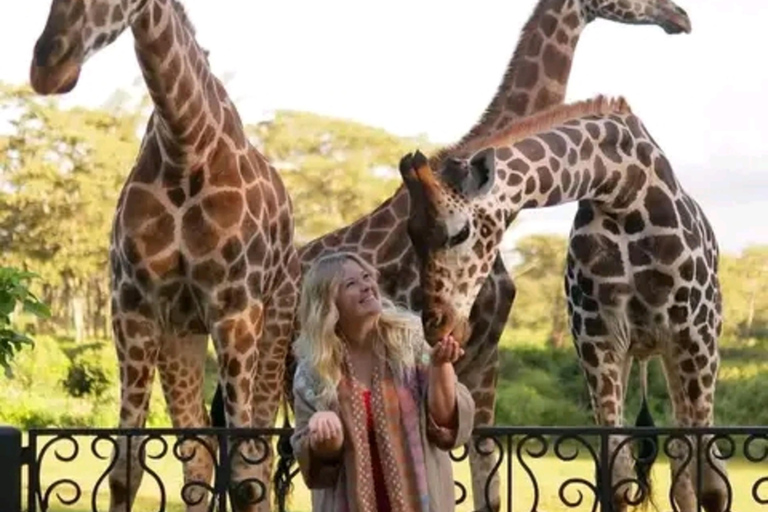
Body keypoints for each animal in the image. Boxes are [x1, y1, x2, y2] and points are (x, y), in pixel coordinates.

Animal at [29, 1, 300, 511]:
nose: (48, 68)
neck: (186, 146)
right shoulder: (132, 306)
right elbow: (125, 470)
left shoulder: (234, 308)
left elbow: (243, 475)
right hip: (183, 336)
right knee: (200, 452)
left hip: (274, 321)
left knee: (258, 455)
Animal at [397, 96, 729, 512]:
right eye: (412, 235)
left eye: (460, 232)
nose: (436, 323)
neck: (623, 191)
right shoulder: (597, 338)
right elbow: (617, 480)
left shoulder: (693, 335)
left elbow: (712, 487)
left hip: (686, 349)